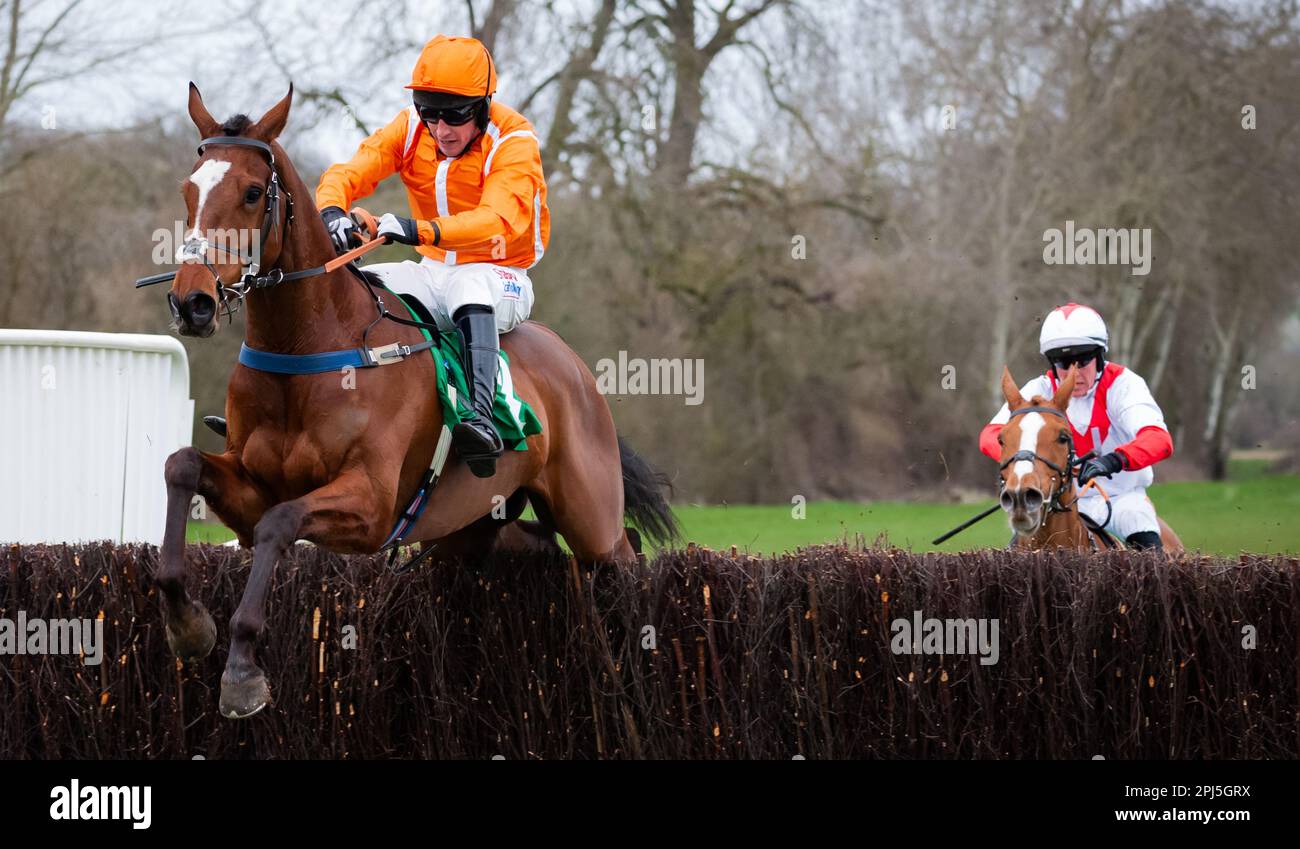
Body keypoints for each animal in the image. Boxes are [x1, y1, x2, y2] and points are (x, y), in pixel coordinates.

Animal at [152, 84, 681, 717]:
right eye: (188, 190)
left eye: (254, 193)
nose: (192, 303)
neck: (309, 349)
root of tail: (574, 366)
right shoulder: (250, 490)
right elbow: (181, 466)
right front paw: (188, 626)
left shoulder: (371, 506)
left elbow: (282, 523)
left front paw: (241, 672)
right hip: (469, 523)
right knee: (537, 547)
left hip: (591, 519)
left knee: (625, 556)